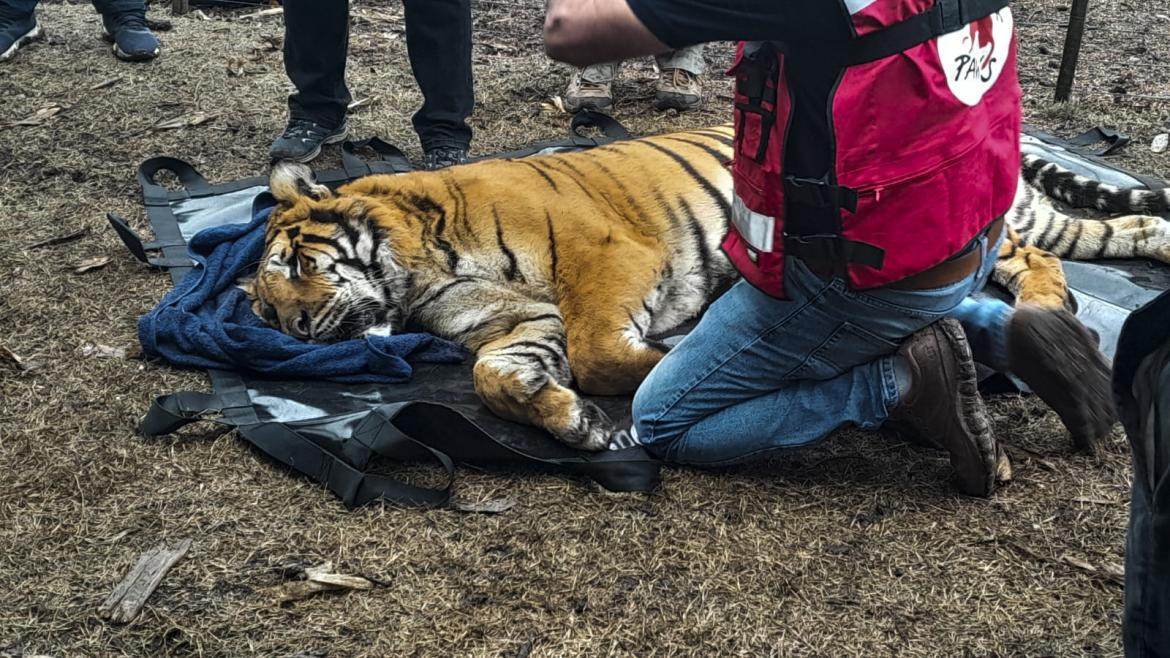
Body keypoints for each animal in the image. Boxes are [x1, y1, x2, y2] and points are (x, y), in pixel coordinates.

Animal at [251, 124, 1170, 447]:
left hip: (990, 227)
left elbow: (605, 351)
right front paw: (570, 421)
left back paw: (1047, 319)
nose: (295, 332)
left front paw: (670, 356)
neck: (419, 276)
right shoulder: (512, 325)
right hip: (1043, 219)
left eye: (298, 268)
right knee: (1118, 234)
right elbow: (495, 376)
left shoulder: (602, 254)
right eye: (263, 305)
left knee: (1042, 265)